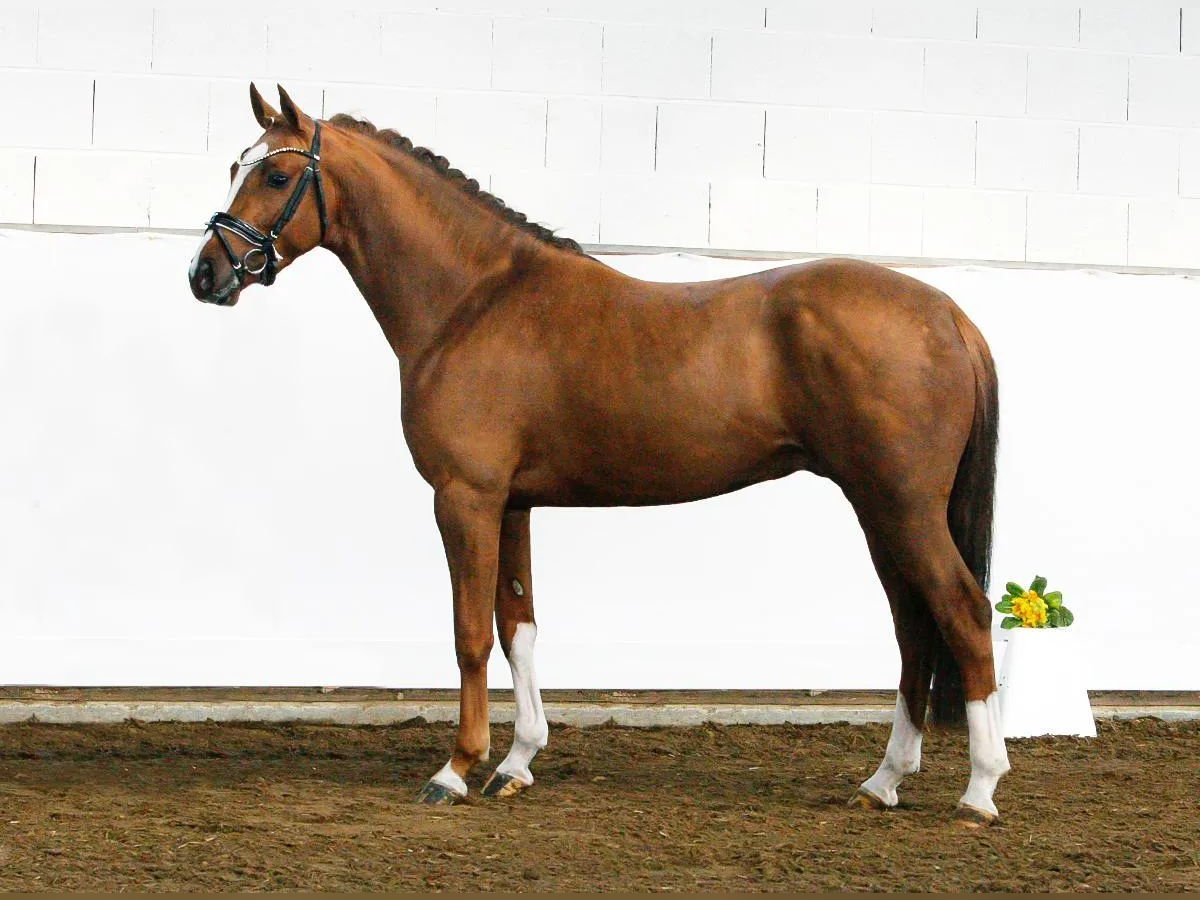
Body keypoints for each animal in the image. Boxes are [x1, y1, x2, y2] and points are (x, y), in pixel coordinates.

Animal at [187, 88, 1012, 830]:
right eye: (236, 165)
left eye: (277, 176)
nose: (205, 274)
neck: (473, 299)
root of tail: (950, 315)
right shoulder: (511, 502)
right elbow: (517, 626)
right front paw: (516, 763)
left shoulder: (464, 497)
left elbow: (469, 632)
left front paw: (455, 770)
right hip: (880, 511)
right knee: (913, 628)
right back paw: (883, 782)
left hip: (902, 509)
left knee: (964, 614)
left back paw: (978, 791)